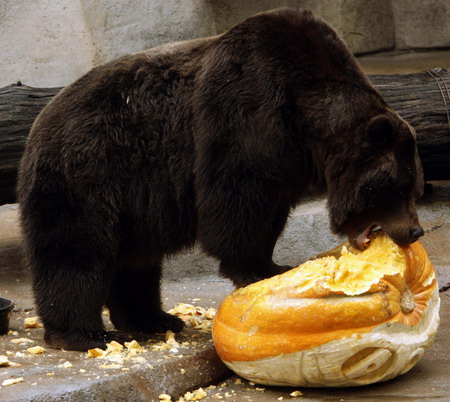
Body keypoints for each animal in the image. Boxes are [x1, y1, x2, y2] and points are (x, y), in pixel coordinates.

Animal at [18, 7, 426, 350]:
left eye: (414, 187)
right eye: (398, 187)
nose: (415, 230)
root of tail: (40, 122)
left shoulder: (286, 163)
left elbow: (270, 210)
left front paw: (270, 263)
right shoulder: (246, 112)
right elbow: (238, 200)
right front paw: (258, 268)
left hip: (131, 204)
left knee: (135, 260)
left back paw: (153, 318)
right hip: (87, 172)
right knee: (74, 251)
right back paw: (84, 334)